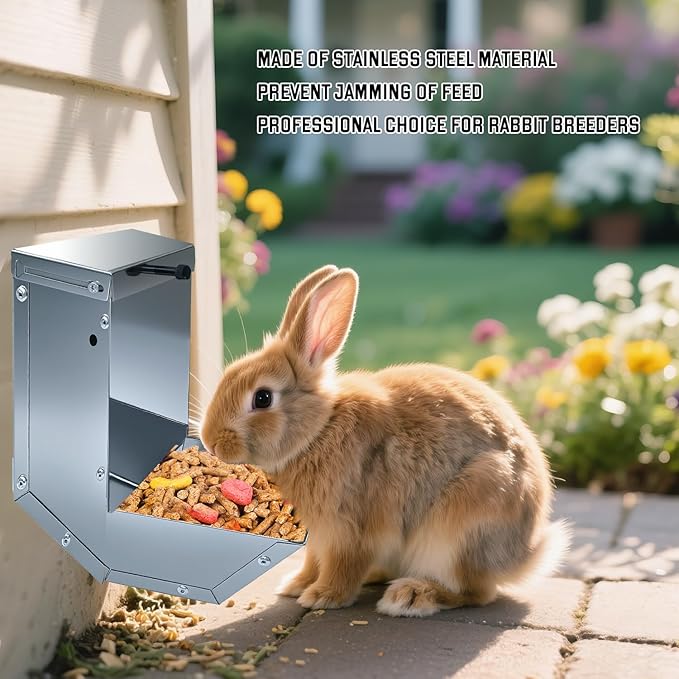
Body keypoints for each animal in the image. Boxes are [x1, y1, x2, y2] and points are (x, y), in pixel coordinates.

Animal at [201, 265, 570, 617]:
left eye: (262, 398)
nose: (211, 441)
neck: (318, 431)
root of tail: (523, 555)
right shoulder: (318, 537)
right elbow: (313, 561)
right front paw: (296, 584)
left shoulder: (351, 530)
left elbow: (343, 566)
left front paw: (322, 596)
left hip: (461, 527)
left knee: (475, 592)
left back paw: (411, 596)